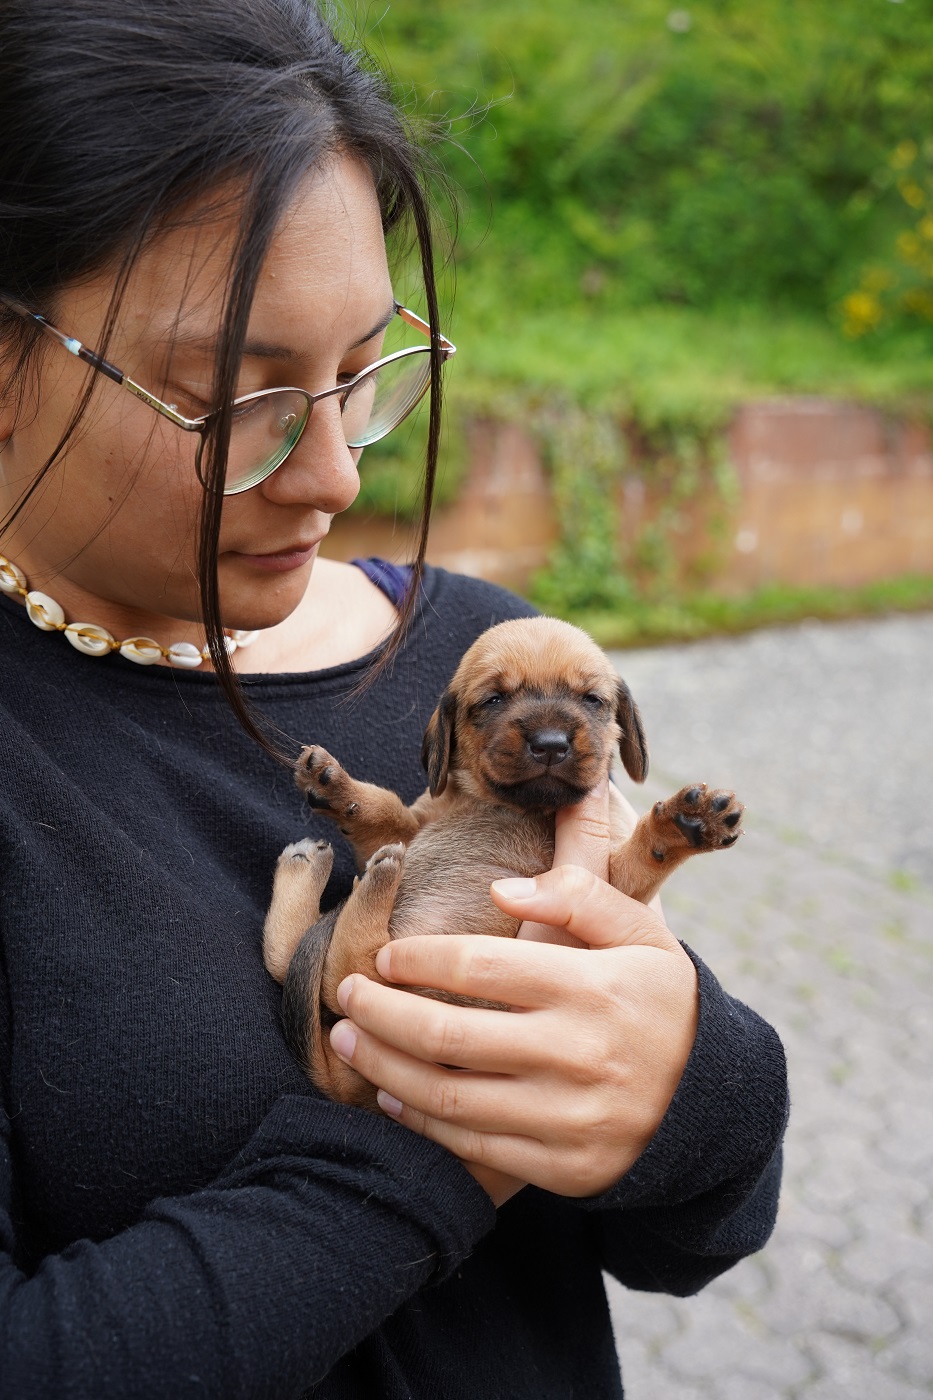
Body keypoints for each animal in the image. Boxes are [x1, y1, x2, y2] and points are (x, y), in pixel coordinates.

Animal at [263, 616, 743, 1108]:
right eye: (493, 699)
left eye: (592, 699)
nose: (550, 745)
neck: (527, 810)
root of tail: (353, 1085)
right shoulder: (409, 826)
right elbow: (384, 810)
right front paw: (340, 789)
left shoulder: (611, 882)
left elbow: (644, 855)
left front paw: (682, 826)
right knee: (320, 962)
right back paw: (327, 870)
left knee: (342, 963)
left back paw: (362, 878)